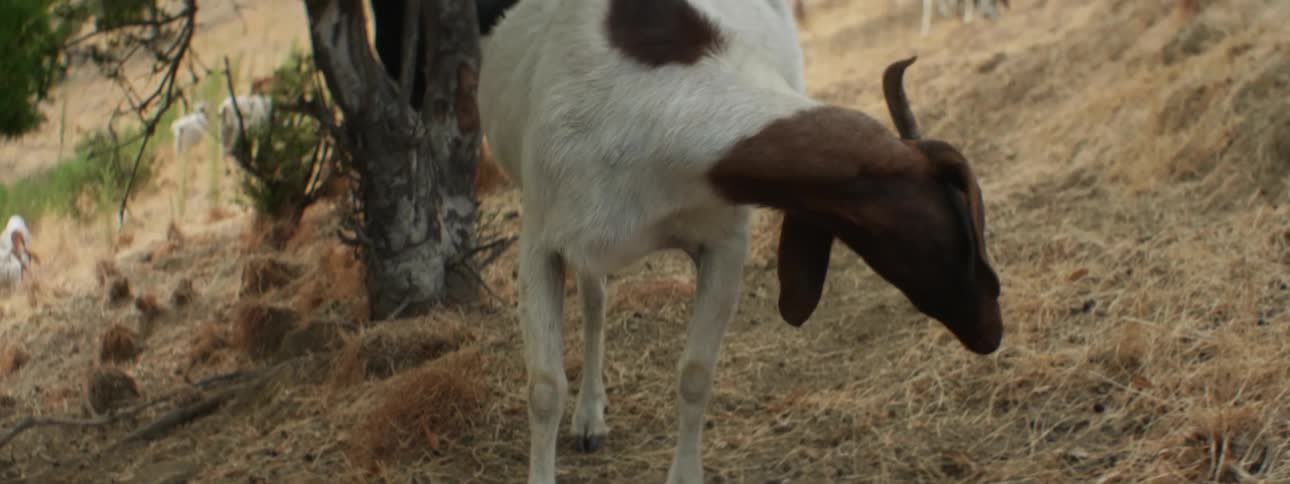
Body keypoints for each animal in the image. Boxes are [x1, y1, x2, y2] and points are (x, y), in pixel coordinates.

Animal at [477, 1, 1002, 482]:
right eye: (958, 226)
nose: (992, 330)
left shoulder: (724, 244)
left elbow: (695, 376)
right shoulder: (543, 240)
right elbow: (545, 388)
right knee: (595, 299)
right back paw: (589, 417)